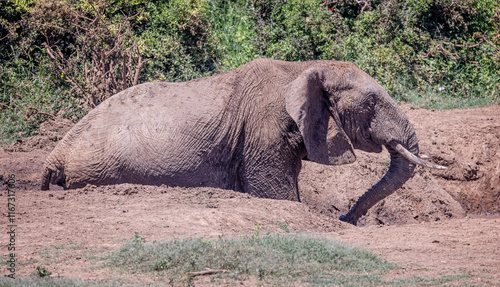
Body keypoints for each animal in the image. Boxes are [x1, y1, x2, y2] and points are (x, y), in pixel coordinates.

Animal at [41, 58, 444, 225]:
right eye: (372, 102)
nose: (346, 217)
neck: (303, 67)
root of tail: (55, 155)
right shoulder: (264, 130)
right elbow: (278, 196)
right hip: (101, 168)